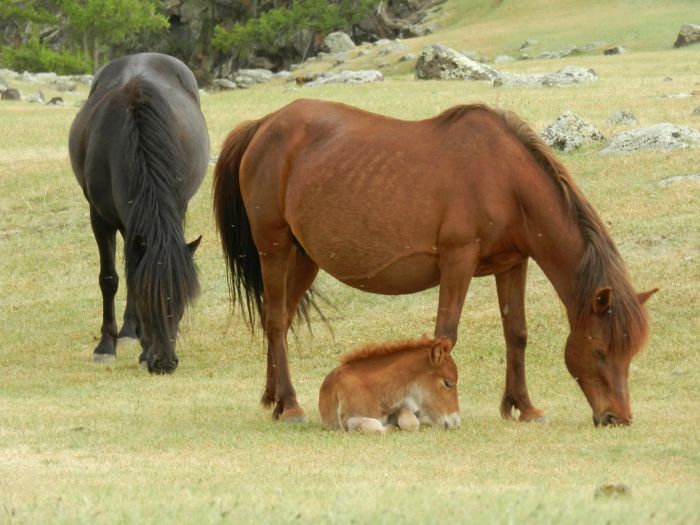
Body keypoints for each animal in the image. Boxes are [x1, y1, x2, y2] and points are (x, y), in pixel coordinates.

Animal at [69, 53, 209, 370]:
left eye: (181, 302)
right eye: (149, 303)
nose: (164, 362)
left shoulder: (177, 208)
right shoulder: (100, 218)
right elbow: (110, 279)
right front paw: (106, 345)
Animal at [318, 336, 460, 434]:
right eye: (447, 383)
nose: (456, 422)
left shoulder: (403, 404)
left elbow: (411, 422)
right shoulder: (348, 421)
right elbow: (377, 428)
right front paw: (393, 426)